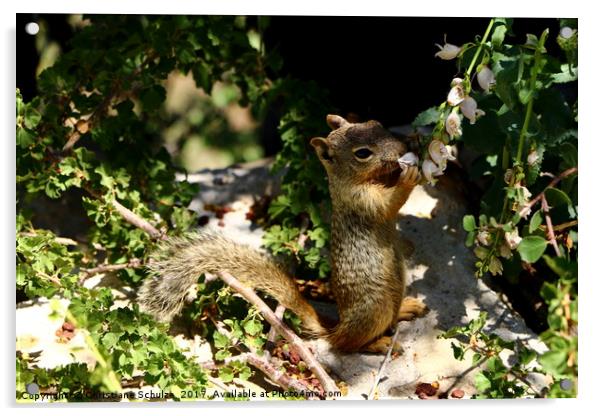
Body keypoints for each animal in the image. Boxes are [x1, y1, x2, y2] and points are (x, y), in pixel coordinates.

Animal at [136, 114, 426, 354]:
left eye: (375, 123)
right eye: (363, 153)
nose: (402, 149)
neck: (351, 181)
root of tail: (337, 328)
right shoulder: (361, 201)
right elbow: (389, 205)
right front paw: (410, 176)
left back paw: (406, 308)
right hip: (375, 308)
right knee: (346, 345)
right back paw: (378, 344)